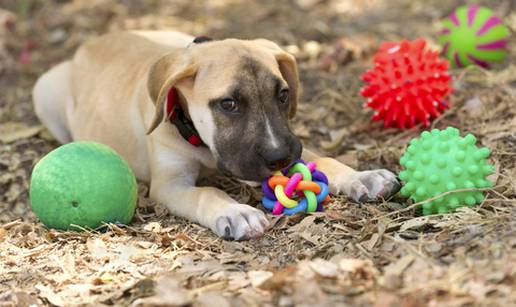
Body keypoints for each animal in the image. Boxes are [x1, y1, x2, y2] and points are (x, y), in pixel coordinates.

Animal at [32, 31, 400, 242]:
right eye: (229, 104)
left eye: (283, 94)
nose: (280, 158)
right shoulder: (170, 184)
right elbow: (206, 192)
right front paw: (236, 213)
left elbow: (325, 158)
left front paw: (363, 176)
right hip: (44, 90)